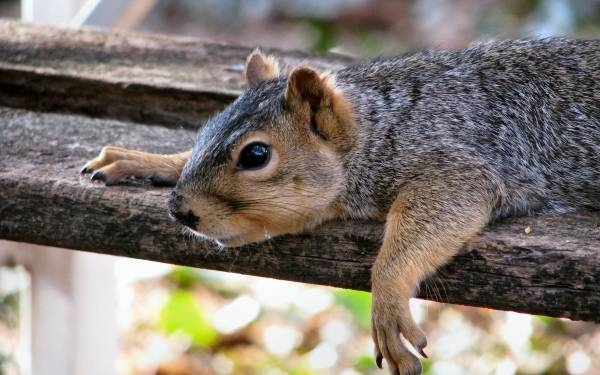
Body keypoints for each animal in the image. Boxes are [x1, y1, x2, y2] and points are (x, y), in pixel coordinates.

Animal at [82, 39, 600, 375]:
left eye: (256, 155)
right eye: (203, 129)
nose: (181, 210)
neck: (381, 126)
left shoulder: (463, 164)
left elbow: (440, 211)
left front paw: (387, 298)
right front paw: (145, 160)